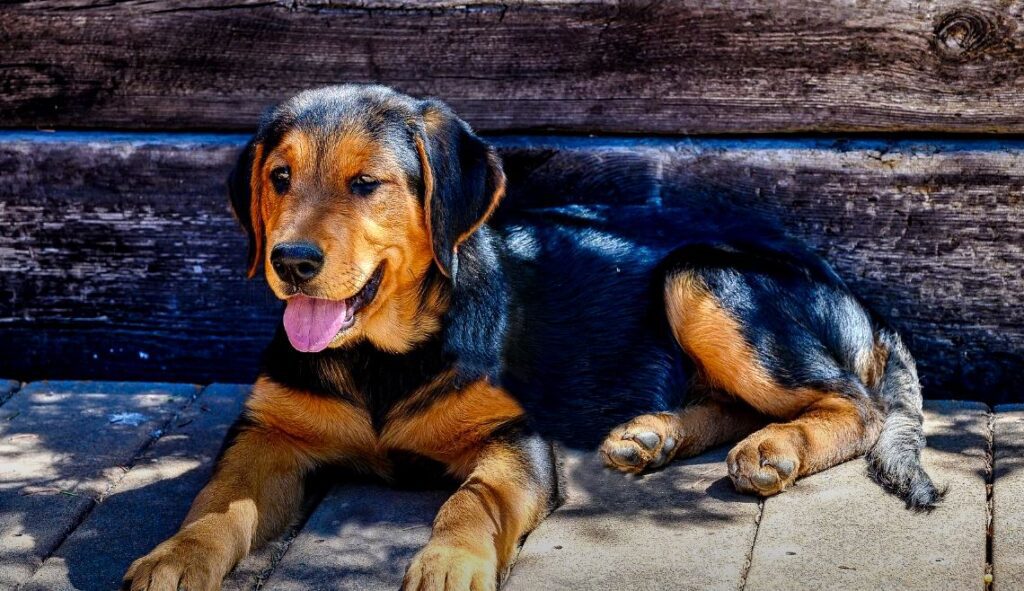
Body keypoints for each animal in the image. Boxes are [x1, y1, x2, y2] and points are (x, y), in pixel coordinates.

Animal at [128, 86, 942, 589]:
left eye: (366, 184)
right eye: (279, 176)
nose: (290, 262)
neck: (380, 360)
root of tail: (855, 295)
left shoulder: (512, 438)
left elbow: (471, 501)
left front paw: (450, 563)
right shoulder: (267, 432)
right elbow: (216, 503)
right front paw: (173, 557)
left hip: (701, 276)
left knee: (854, 406)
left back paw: (775, 447)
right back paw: (651, 435)